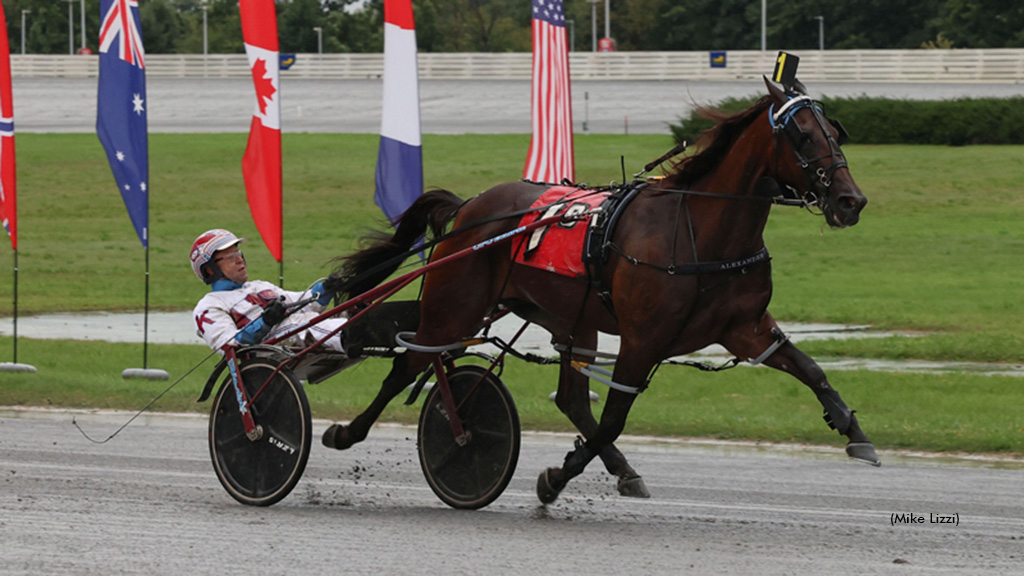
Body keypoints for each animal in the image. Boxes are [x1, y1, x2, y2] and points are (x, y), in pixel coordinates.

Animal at [323, 77, 876, 502]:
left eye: (836, 130)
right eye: (803, 135)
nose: (851, 201)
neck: (701, 232)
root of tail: (468, 208)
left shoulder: (746, 328)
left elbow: (810, 369)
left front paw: (854, 430)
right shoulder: (642, 340)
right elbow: (612, 418)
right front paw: (554, 479)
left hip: (570, 319)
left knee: (569, 398)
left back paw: (622, 469)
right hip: (454, 307)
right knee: (406, 365)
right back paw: (348, 432)